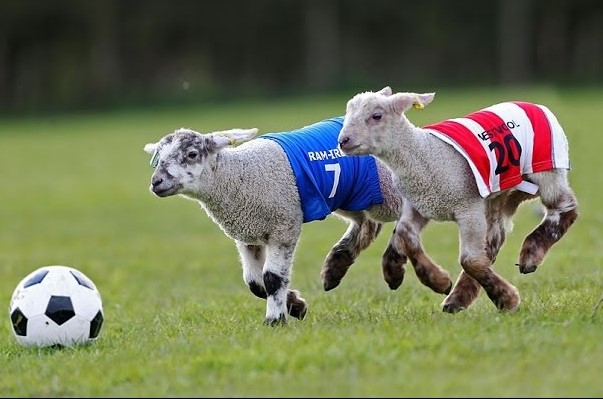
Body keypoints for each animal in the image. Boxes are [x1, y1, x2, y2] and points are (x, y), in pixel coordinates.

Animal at [144, 117, 456, 326]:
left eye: (192, 154)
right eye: (158, 158)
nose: (156, 182)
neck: (238, 176)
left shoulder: (283, 225)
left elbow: (271, 277)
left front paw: (275, 320)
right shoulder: (247, 234)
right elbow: (254, 282)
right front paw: (295, 306)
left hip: (385, 189)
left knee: (406, 217)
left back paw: (415, 274)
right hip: (351, 194)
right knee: (368, 225)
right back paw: (335, 267)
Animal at [340, 87, 580, 316]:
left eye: (376, 116)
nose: (343, 141)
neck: (423, 154)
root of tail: (532, 104)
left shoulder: (468, 207)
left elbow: (470, 260)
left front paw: (508, 300)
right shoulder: (419, 204)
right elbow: (405, 235)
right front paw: (435, 281)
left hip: (546, 170)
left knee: (565, 208)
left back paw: (529, 256)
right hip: (499, 195)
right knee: (492, 242)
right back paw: (457, 298)